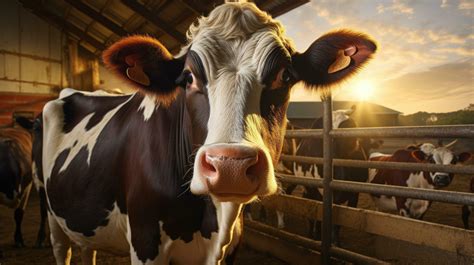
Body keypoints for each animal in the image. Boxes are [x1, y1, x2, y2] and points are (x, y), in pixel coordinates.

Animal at [38, 1, 378, 262]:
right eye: (188, 78)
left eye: (285, 75)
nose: (231, 167)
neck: (211, 218)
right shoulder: (146, 242)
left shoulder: (229, 247)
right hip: (53, 215)